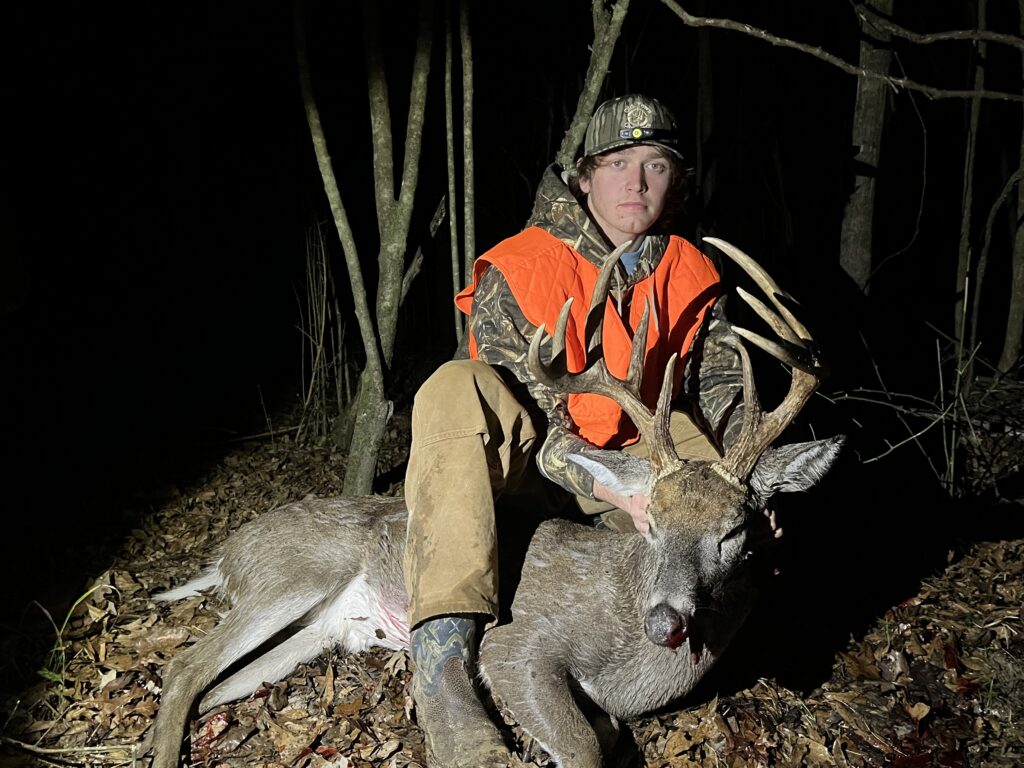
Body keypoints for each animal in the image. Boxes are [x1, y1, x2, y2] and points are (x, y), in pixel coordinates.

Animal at [146, 237, 843, 768]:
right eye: (652, 525)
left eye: (736, 531)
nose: (665, 621)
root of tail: (226, 555)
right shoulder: (517, 644)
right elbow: (584, 746)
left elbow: (611, 737)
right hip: (291, 576)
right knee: (182, 669)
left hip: (319, 626)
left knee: (214, 687)